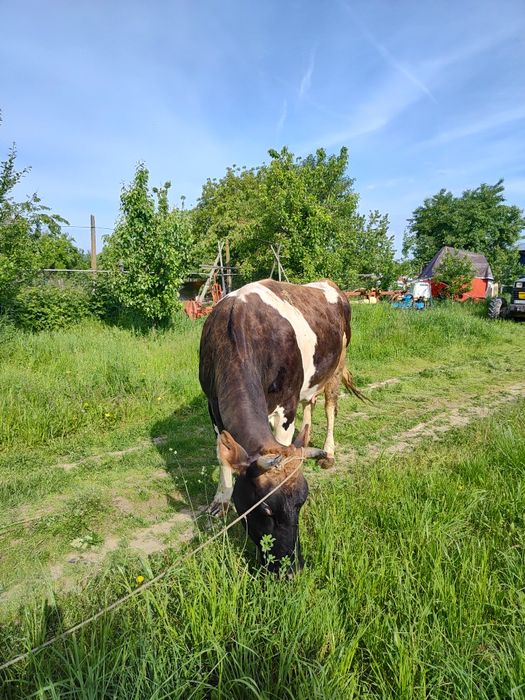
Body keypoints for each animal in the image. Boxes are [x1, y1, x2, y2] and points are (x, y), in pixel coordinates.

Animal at [199, 278, 359, 574]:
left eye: (301, 505)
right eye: (265, 511)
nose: (291, 569)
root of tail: (328, 283)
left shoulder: (286, 405)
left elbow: (283, 439)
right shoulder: (212, 404)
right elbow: (222, 452)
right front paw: (220, 503)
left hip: (338, 363)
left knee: (330, 407)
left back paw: (328, 453)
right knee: (310, 404)